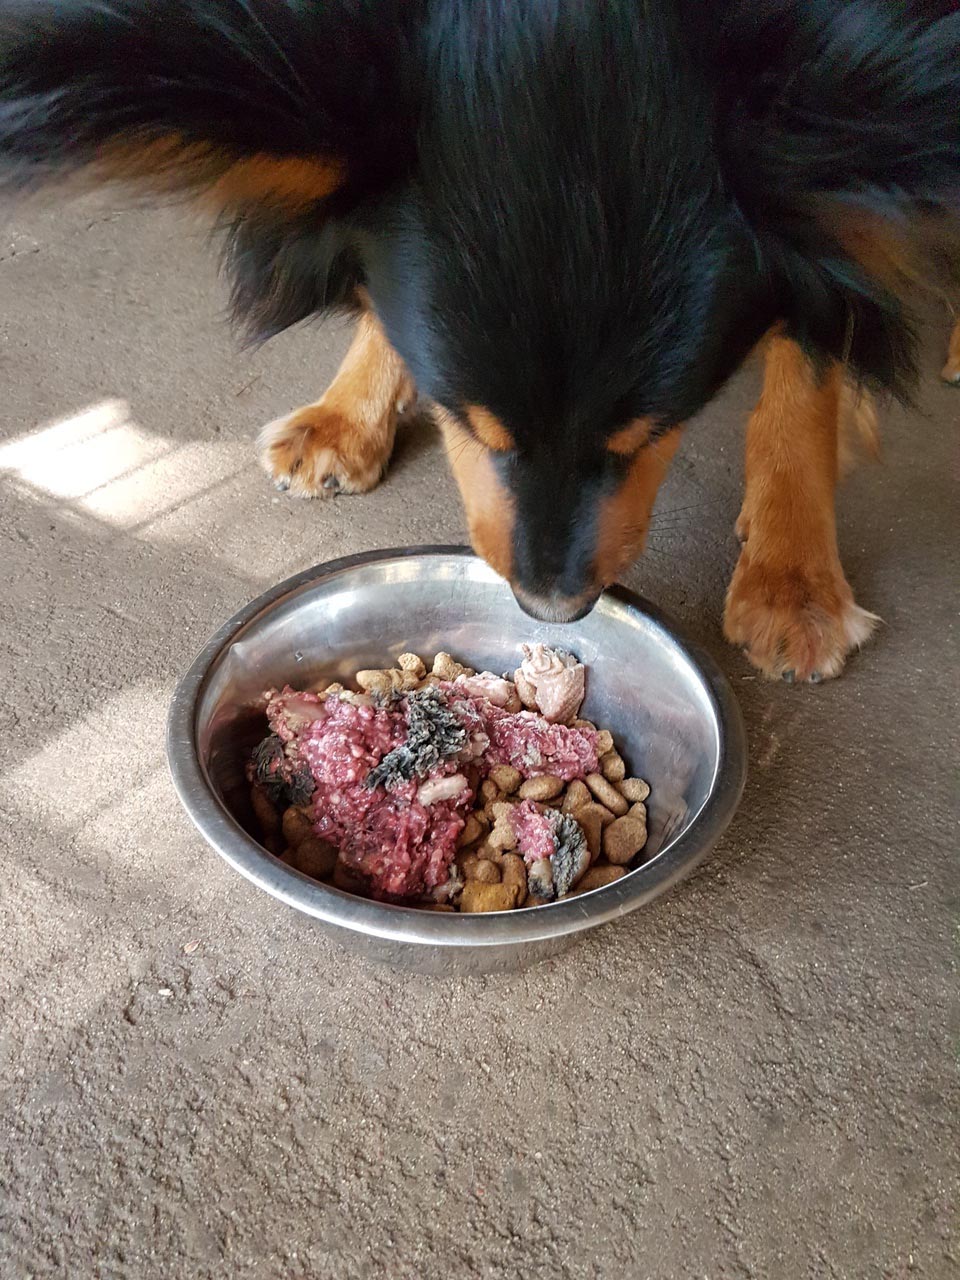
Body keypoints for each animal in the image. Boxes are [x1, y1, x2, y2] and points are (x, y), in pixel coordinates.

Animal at [1, 1, 958, 682]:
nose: (552, 611)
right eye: (467, 421)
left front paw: (792, 575)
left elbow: (810, 363)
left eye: (648, 436)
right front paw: (350, 415)